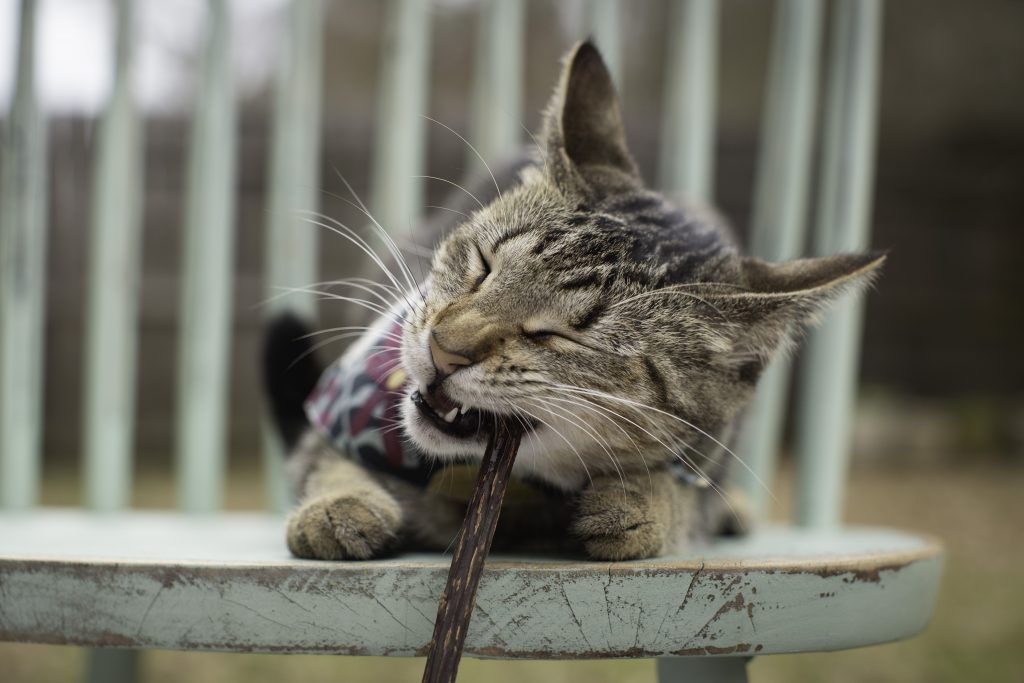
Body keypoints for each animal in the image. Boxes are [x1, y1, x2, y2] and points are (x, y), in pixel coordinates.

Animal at [262, 41, 880, 561]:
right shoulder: (338, 413)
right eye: (483, 265)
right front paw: (339, 504)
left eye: (560, 335)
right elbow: (325, 458)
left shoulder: (704, 457)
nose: (443, 348)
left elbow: (681, 494)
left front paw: (640, 503)